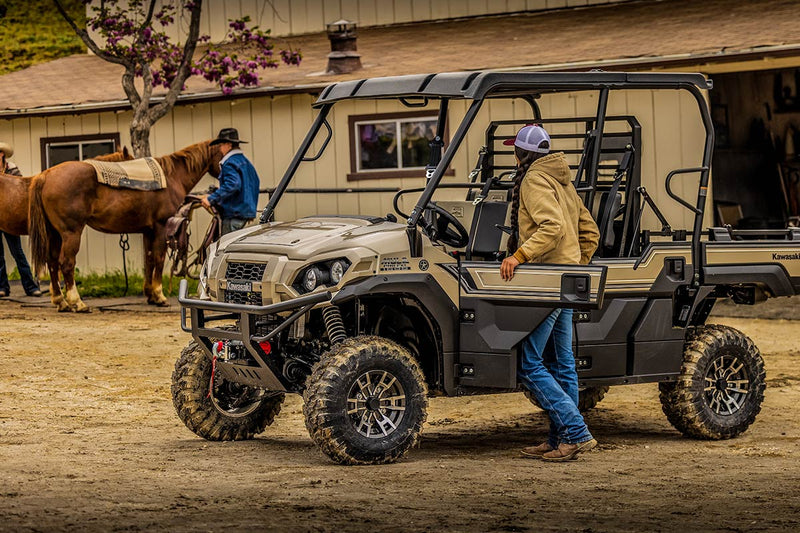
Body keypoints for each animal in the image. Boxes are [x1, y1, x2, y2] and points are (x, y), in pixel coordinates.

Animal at [28, 141, 222, 312]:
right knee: (66, 263)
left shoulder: (148, 231)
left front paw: (150, 295)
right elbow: (159, 259)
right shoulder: (161, 227)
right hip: (71, 233)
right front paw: (159, 296)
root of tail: (46, 176)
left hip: (54, 234)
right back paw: (78, 303)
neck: (172, 177)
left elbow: (149, 260)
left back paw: (61, 302)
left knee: (52, 262)